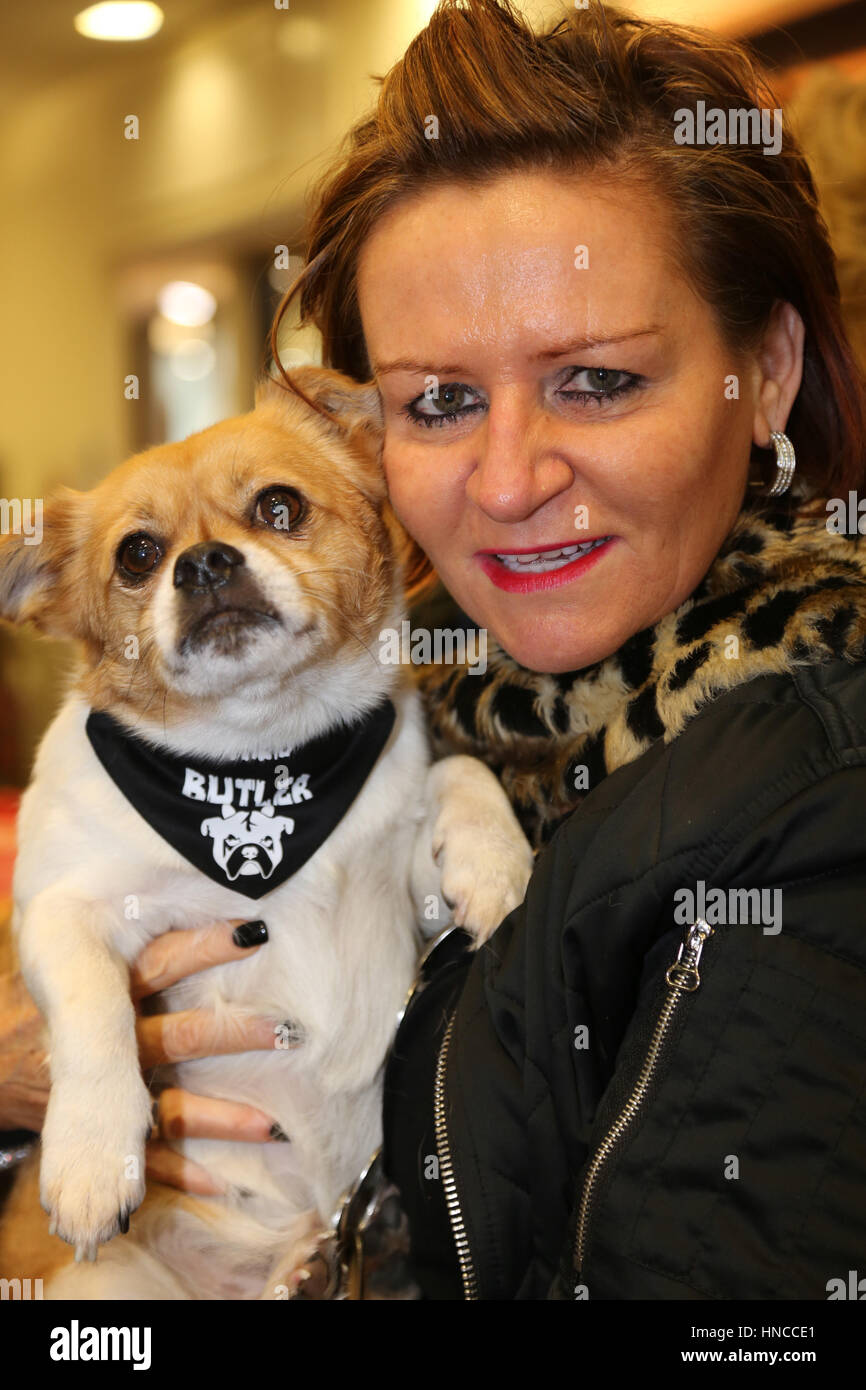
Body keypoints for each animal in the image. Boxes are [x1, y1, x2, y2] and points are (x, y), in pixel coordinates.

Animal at [0, 372, 536, 1301]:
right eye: (137, 555)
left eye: (279, 507)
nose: (204, 561)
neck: (260, 755)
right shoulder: (59, 911)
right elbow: (94, 1005)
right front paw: (93, 1156)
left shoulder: (412, 897)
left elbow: (458, 774)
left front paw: (494, 859)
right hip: (106, 1288)